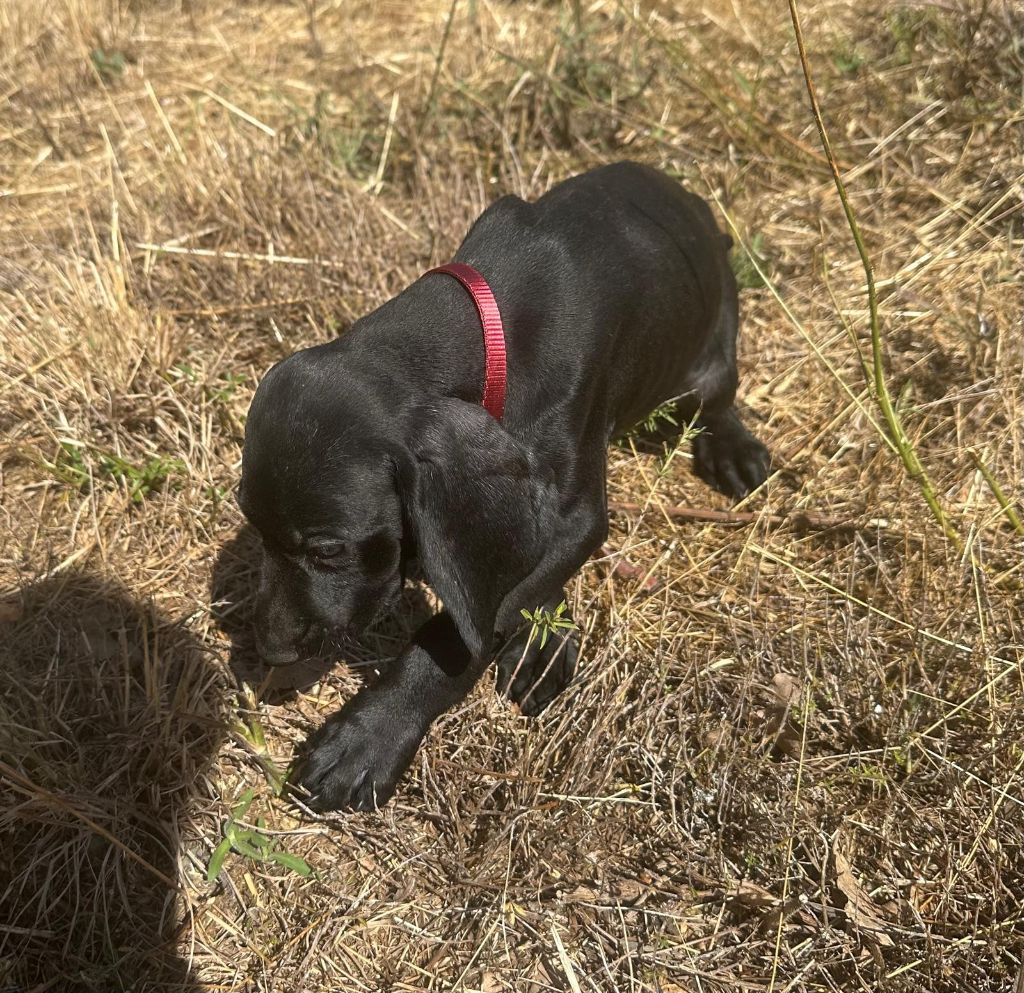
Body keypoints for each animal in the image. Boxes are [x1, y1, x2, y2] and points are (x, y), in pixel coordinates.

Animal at [237, 162, 770, 810]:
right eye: (251, 524)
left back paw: (732, 448)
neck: (490, 329)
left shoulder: (574, 516)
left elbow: (463, 628)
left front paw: (369, 737)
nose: (269, 651)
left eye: (328, 550)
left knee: (717, 400)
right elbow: (503, 575)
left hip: (705, 367)